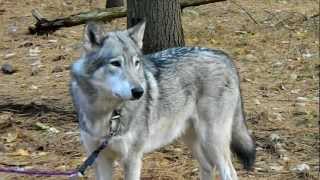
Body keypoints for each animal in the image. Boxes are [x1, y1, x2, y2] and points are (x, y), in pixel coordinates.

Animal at [69, 21, 255, 180]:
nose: (139, 91)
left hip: (212, 139)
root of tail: (224, 56)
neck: (106, 113)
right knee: (208, 167)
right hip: (191, 138)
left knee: (230, 173)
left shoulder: (132, 159)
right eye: (115, 63)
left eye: (136, 63)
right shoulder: (100, 159)